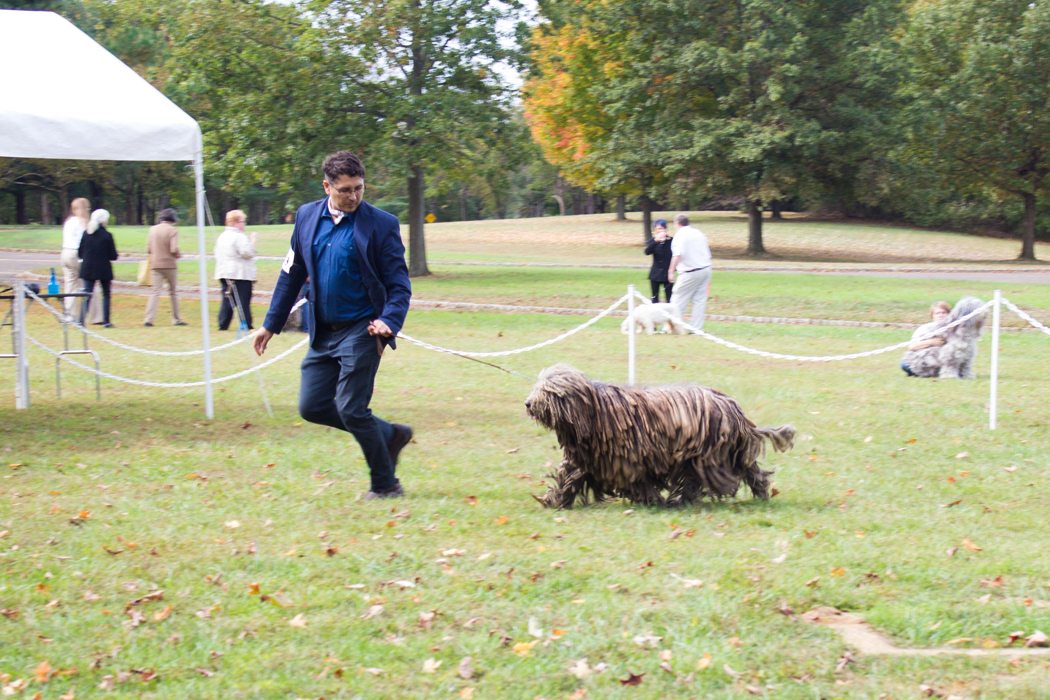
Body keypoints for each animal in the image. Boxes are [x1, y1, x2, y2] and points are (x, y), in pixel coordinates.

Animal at [525, 367, 793, 510]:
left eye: (548, 391)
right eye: (537, 388)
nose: (528, 403)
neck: (596, 412)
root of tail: (732, 407)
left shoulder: (626, 461)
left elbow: (636, 482)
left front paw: (650, 499)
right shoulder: (586, 461)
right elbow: (568, 479)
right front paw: (553, 499)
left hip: (706, 457)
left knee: (697, 482)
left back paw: (680, 501)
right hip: (725, 454)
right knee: (751, 471)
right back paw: (762, 492)